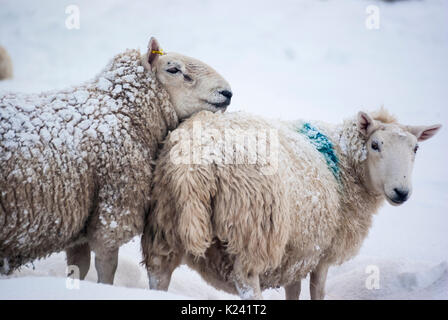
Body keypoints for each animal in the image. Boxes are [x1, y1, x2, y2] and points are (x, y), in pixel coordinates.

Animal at [2, 36, 234, 284]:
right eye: (173, 69)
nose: (227, 92)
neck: (122, 110)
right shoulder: (113, 210)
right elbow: (106, 266)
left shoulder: (80, 219)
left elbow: (79, 267)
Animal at [143, 109, 440, 298]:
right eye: (375, 145)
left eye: (415, 148)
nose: (401, 192)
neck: (344, 163)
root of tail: (196, 161)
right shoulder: (321, 252)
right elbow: (317, 290)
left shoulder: (299, 251)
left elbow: (293, 290)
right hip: (253, 228)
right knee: (246, 282)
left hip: (165, 220)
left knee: (158, 271)